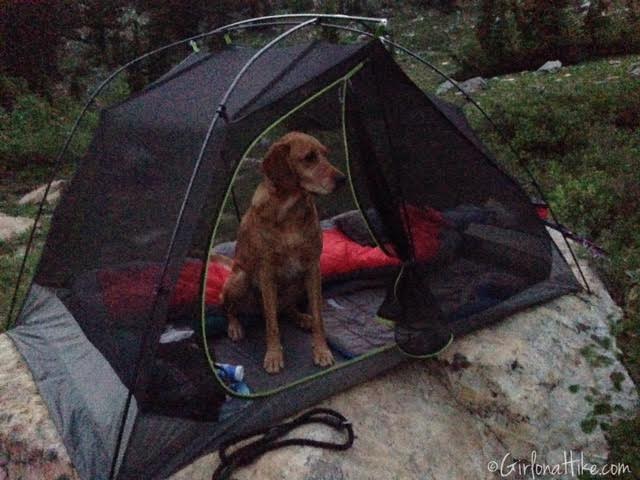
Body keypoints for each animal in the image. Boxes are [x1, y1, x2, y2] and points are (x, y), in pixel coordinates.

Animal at [220, 132, 344, 376]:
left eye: (325, 154)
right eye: (309, 158)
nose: (342, 179)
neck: (290, 212)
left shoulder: (313, 267)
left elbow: (319, 316)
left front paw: (322, 350)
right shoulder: (266, 273)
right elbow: (272, 326)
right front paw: (274, 355)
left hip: (300, 281)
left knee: (286, 309)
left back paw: (302, 318)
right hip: (240, 279)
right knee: (235, 309)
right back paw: (235, 327)